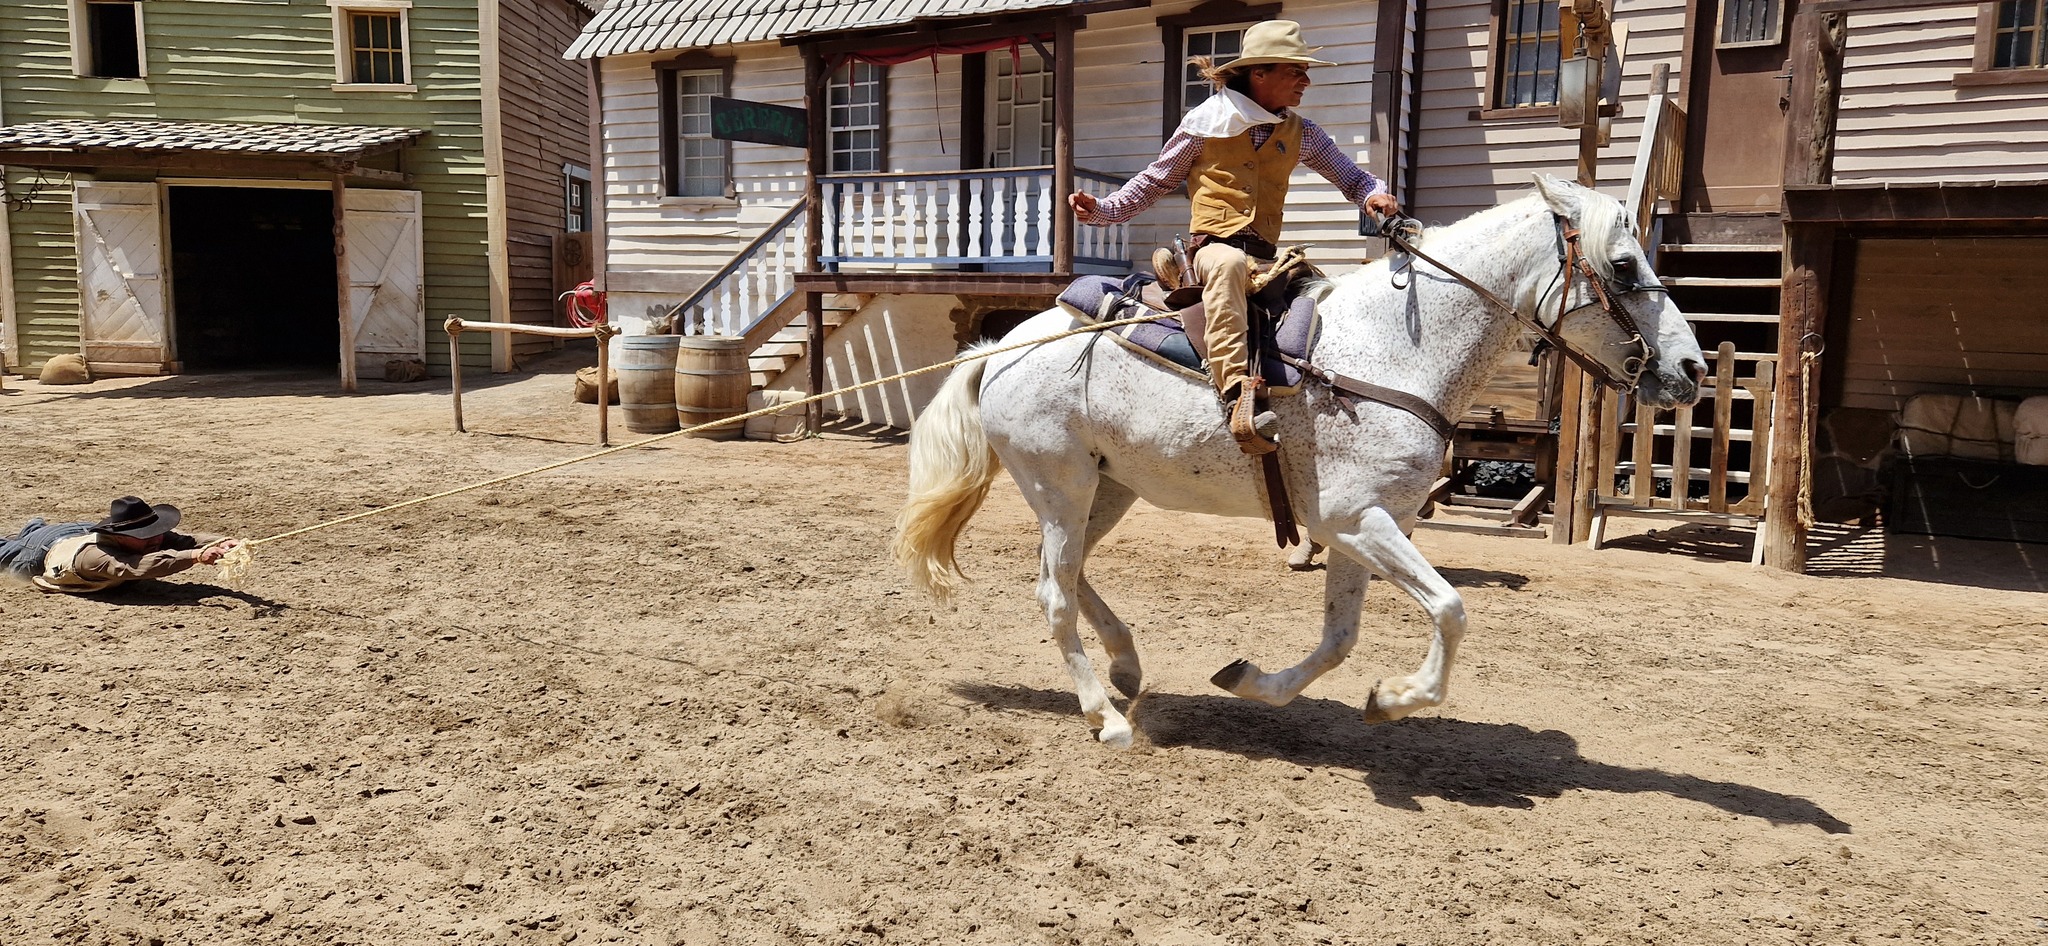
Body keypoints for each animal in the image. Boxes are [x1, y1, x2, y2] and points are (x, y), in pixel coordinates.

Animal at [888, 177, 1703, 745]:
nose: (1691, 368)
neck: (1394, 348)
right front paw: (1400, 698)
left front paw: (1269, 683)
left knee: (1074, 575)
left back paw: (1126, 666)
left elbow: (1339, 640)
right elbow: (1450, 607)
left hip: (1107, 488)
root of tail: (999, 347)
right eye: (1623, 265)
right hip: (1060, 484)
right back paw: (1105, 716)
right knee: (1054, 595)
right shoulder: (1357, 520)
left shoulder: (1362, 527)